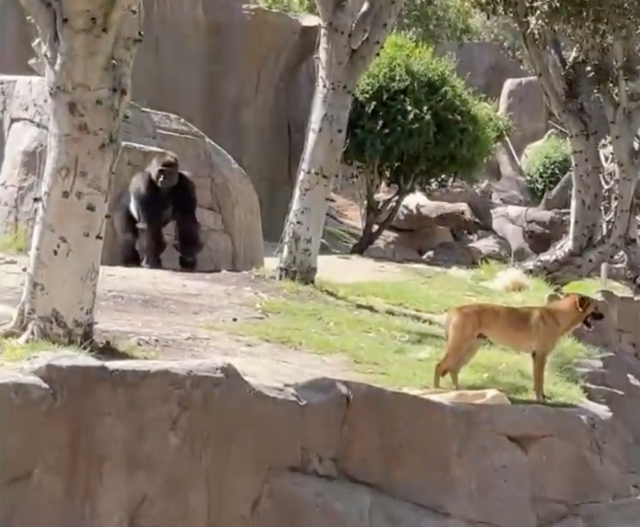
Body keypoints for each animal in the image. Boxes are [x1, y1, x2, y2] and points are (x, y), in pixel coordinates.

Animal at [432, 292, 604, 400]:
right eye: (595, 308)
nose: (603, 316)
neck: (558, 316)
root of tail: (455, 309)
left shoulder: (537, 356)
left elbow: (539, 381)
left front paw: (542, 397)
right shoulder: (540, 355)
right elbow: (539, 380)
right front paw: (540, 398)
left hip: (469, 349)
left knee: (453, 369)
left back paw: (458, 390)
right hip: (459, 346)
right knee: (439, 366)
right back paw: (436, 390)